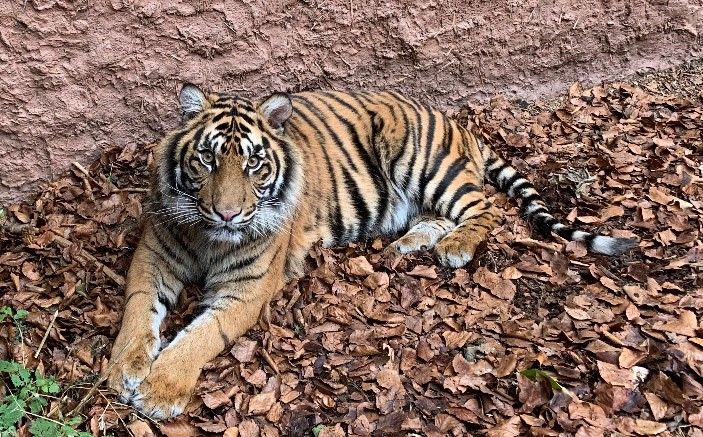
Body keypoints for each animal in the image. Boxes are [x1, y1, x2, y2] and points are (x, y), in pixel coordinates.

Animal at [105, 84, 637, 419]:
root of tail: (455, 122)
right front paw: (122, 369)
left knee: (485, 207)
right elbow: (137, 310)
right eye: (207, 159)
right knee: (441, 214)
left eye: (254, 163)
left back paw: (456, 246)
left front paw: (158, 392)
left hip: (422, 161)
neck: (208, 237)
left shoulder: (245, 291)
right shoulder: (153, 255)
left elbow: (197, 337)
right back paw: (413, 241)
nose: (228, 214)